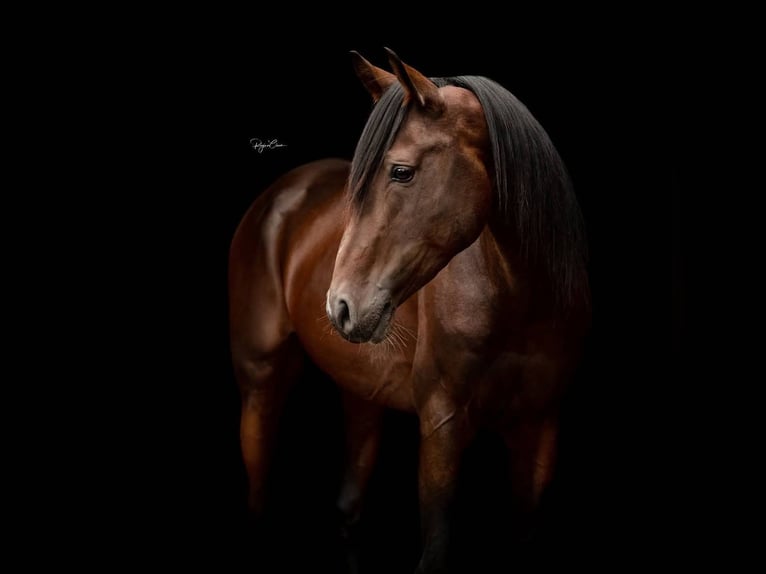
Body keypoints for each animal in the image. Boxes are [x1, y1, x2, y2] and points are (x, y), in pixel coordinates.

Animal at [229, 48, 590, 573]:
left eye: (401, 171)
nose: (341, 305)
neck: (521, 304)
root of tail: (280, 194)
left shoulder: (541, 428)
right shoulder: (442, 426)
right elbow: (436, 547)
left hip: (361, 390)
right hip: (260, 382)